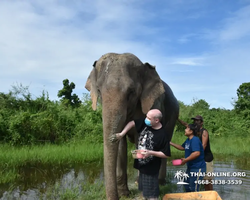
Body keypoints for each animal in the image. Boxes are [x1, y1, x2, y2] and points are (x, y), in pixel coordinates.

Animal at [85, 52, 179, 199]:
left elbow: (141, 139)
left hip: (173, 115)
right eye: (99, 91)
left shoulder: (154, 104)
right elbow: (121, 146)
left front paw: (142, 194)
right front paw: (125, 194)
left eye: (131, 92)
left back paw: (160, 183)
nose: (116, 197)